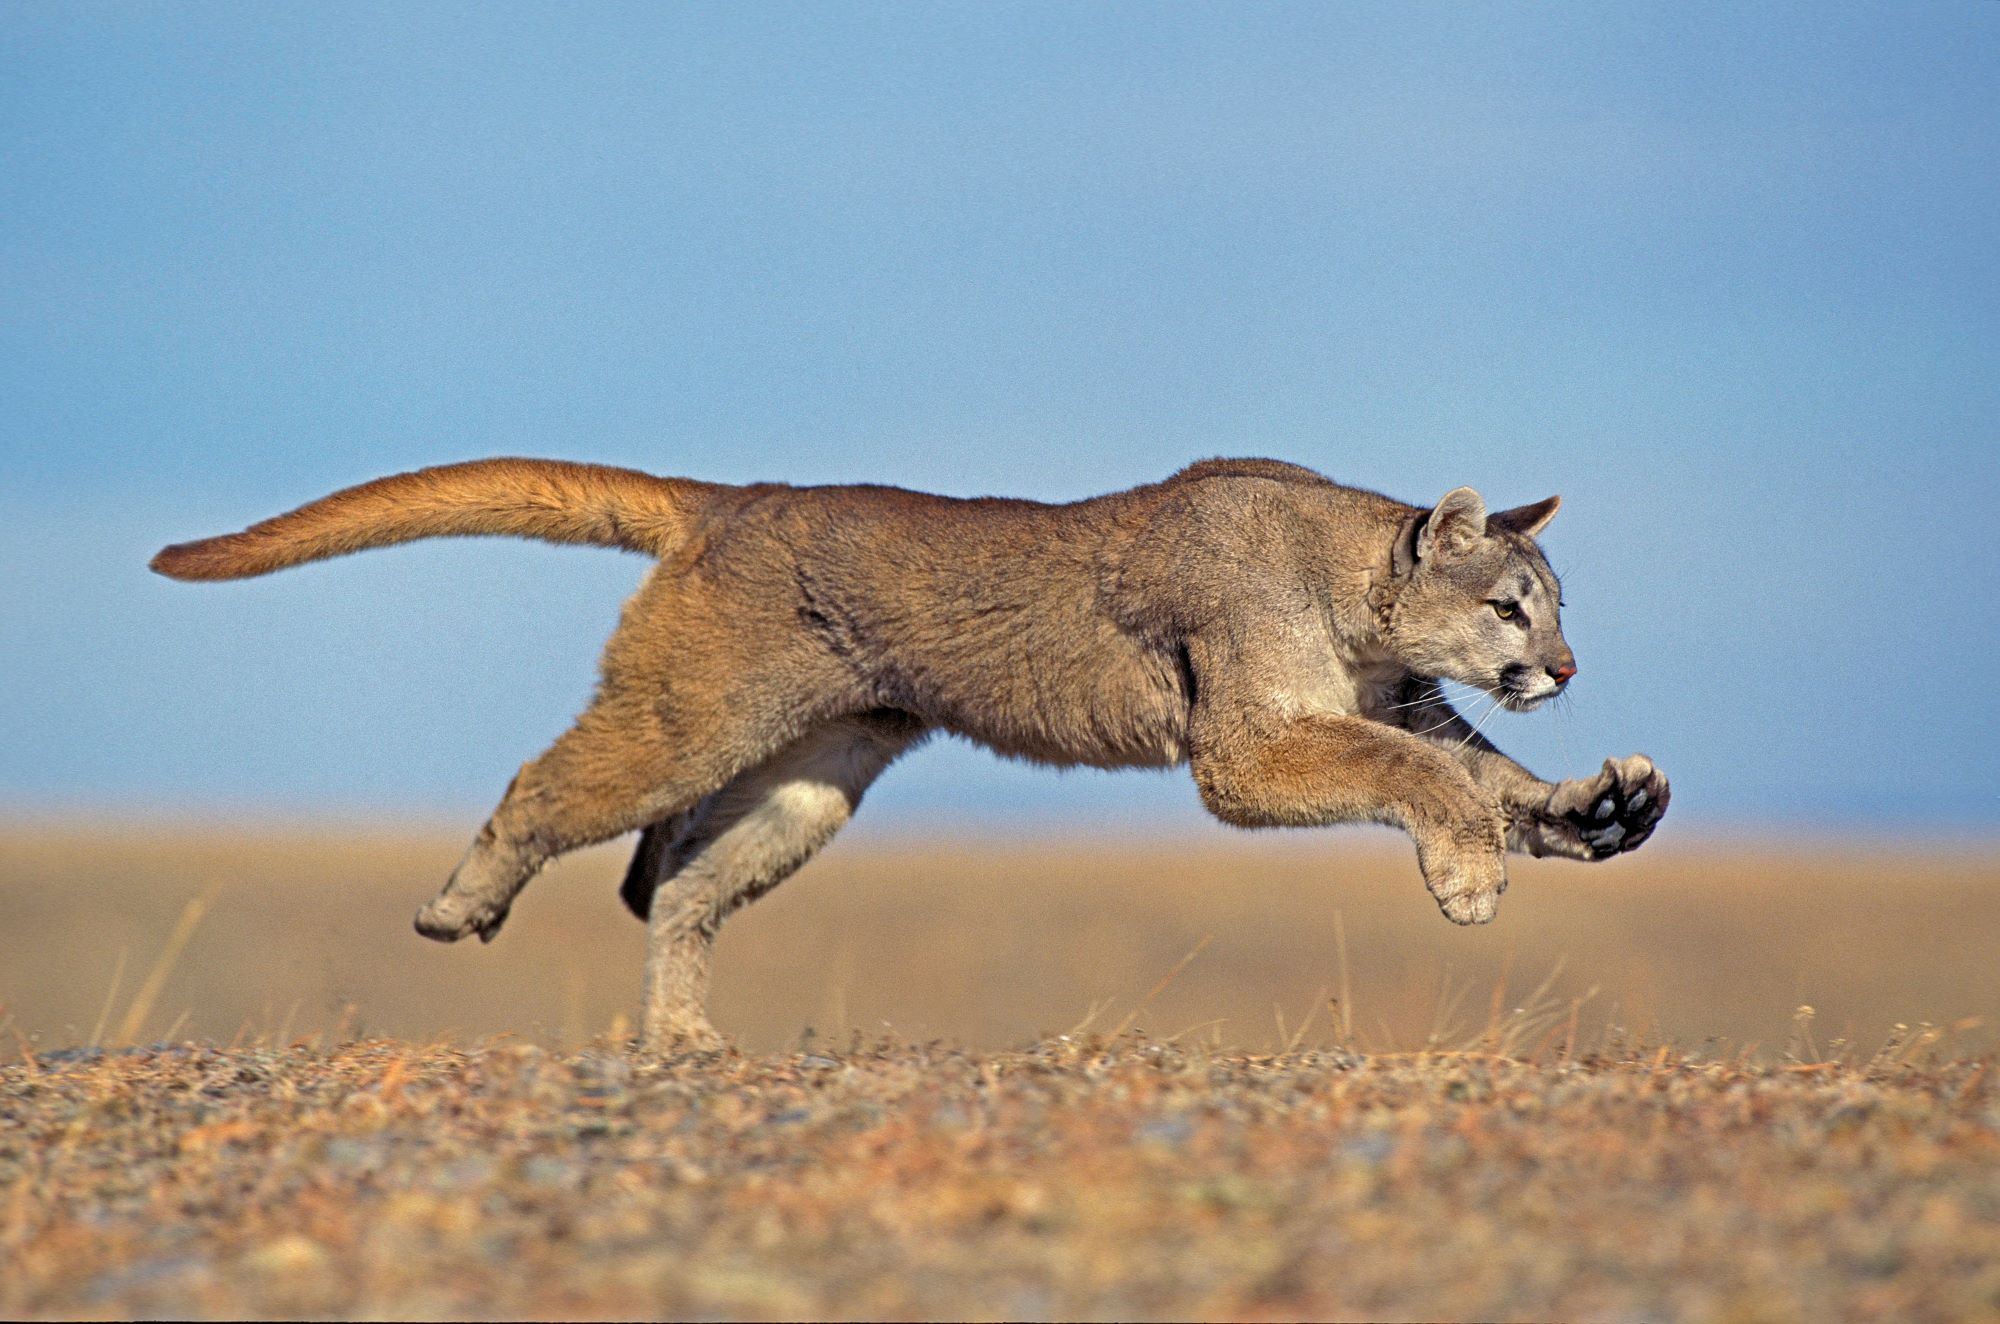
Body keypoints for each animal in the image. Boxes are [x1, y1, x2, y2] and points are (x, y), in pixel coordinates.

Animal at [148, 462, 1664, 1056]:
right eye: (1513, 606)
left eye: (1553, 606)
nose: (1565, 669)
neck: (1347, 586)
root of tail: (734, 498)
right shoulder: (1244, 752)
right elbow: (1424, 780)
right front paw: (1469, 878)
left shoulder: (1394, 706)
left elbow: (1483, 775)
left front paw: (1597, 809)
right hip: (689, 719)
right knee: (555, 796)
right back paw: (460, 905)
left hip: (809, 781)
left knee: (677, 882)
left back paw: (687, 1040)